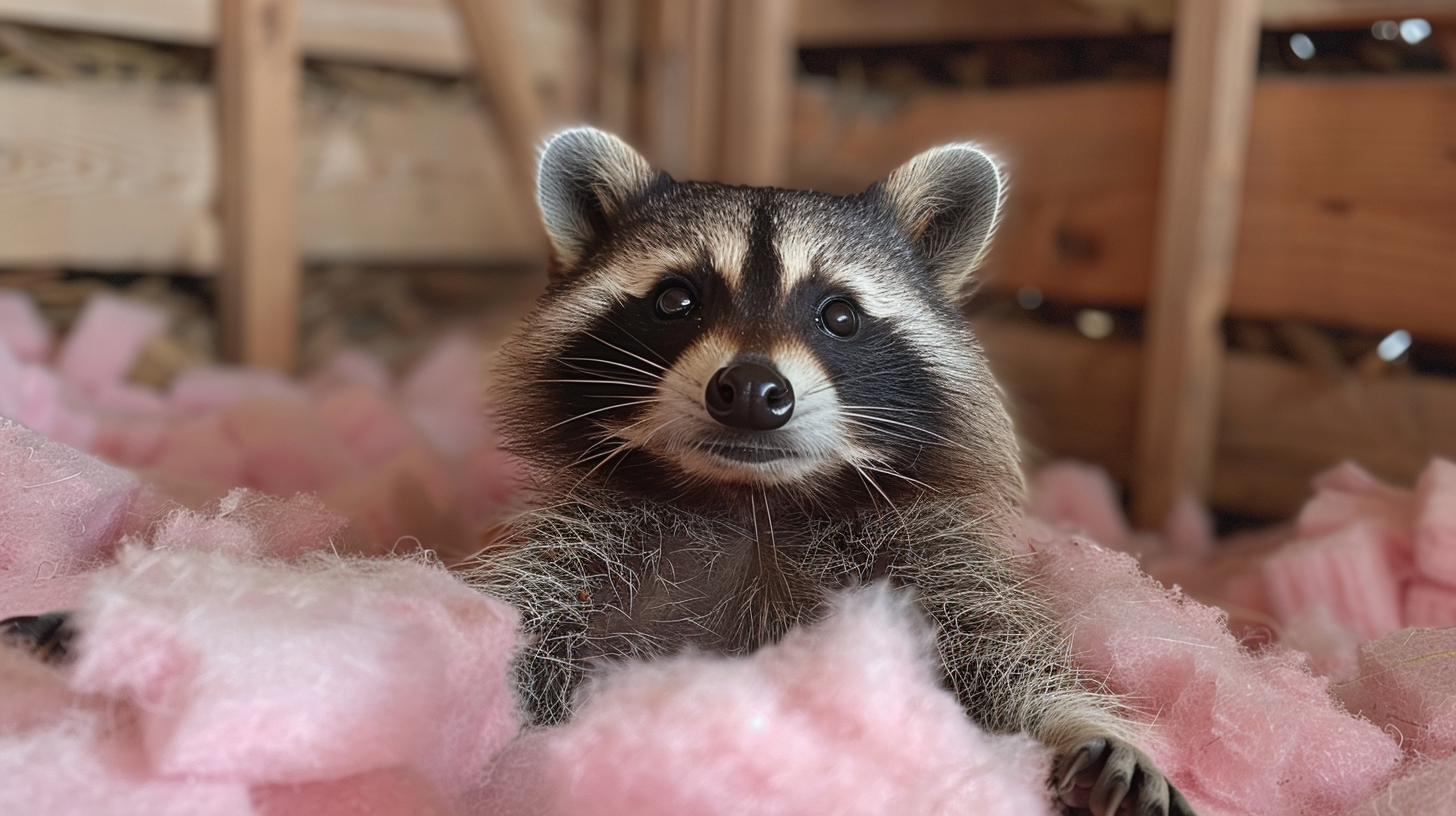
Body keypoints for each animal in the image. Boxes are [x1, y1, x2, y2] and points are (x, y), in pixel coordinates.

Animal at [465, 128, 1193, 816]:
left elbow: (1006, 670)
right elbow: (524, 635)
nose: (751, 390)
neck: (752, 503)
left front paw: (1084, 731)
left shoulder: (933, 567)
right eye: (675, 300)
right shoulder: (580, 553)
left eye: (840, 315)